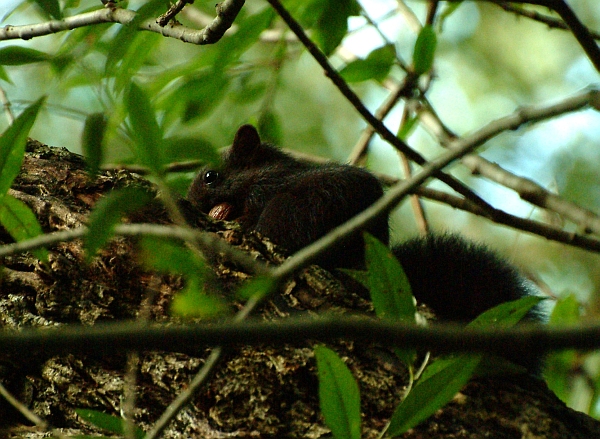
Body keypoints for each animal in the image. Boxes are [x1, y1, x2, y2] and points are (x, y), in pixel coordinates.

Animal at [189, 125, 544, 324]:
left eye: (210, 176)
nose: (192, 201)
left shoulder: (269, 187)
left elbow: (251, 212)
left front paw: (228, 216)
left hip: (299, 210)